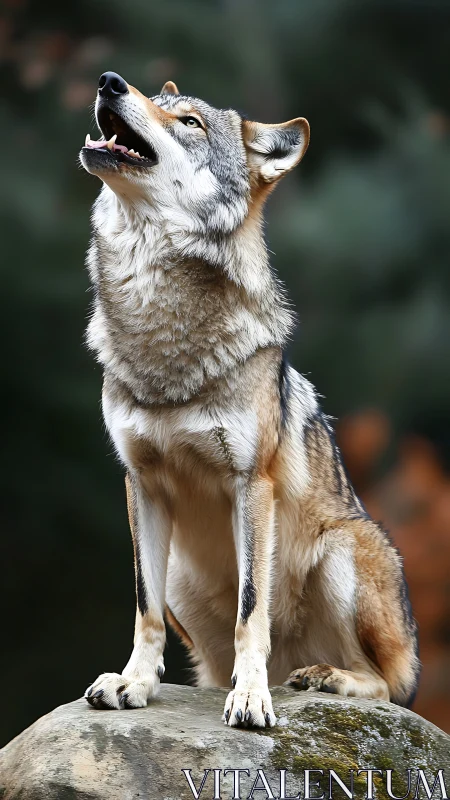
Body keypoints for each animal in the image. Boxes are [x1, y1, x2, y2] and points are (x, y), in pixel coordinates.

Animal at [80, 71, 420, 727]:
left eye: (189, 122)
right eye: (160, 102)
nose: (109, 82)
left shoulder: (251, 483)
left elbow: (251, 609)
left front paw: (252, 696)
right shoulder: (140, 482)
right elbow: (143, 610)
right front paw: (133, 683)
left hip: (343, 549)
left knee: (389, 687)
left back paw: (318, 678)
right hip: (182, 579)